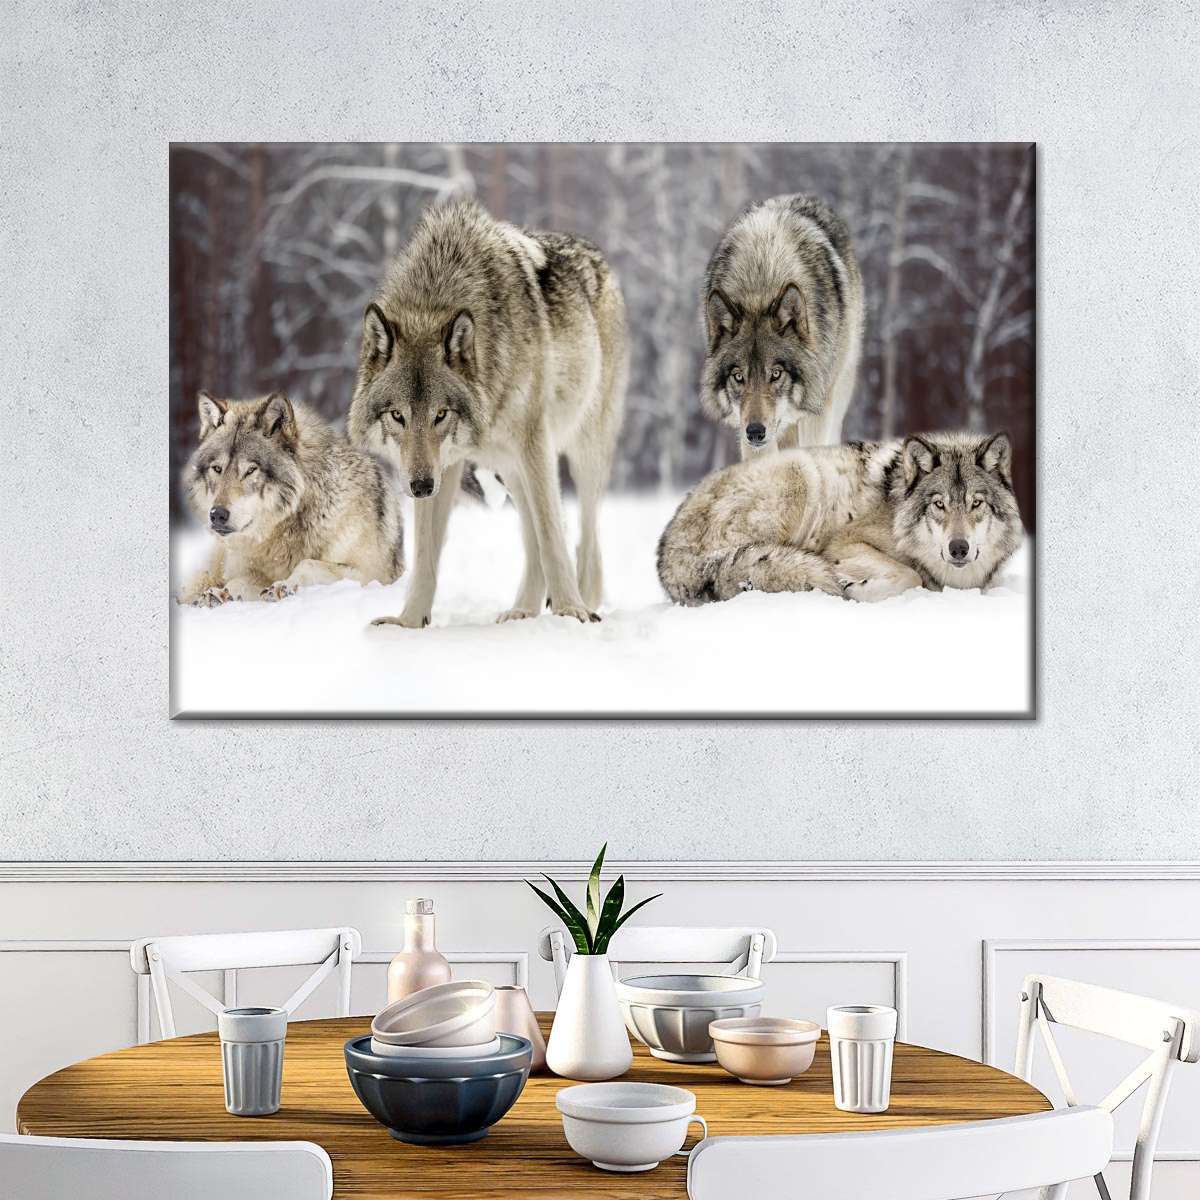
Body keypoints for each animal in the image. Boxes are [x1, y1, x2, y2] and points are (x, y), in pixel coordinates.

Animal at [177, 391, 404, 606]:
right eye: (217, 469)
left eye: (251, 470)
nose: (217, 514)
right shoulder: (251, 571)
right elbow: (239, 582)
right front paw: (220, 594)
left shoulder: (373, 574)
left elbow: (307, 564)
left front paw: (282, 587)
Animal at [347, 198, 627, 627]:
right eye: (398, 416)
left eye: (441, 414)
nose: (420, 487)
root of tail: (596, 252)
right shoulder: (442, 465)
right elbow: (425, 556)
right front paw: (408, 622)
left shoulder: (534, 442)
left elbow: (552, 536)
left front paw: (570, 610)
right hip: (509, 468)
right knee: (534, 537)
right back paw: (523, 611)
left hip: (581, 453)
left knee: (582, 539)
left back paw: (581, 601)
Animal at [657, 431, 1022, 605]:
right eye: (939, 504)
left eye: (976, 503)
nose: (958, 548)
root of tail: (666, 555)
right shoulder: (845, 542)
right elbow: (910, 575)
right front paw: (857, 590)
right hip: (800, 472)